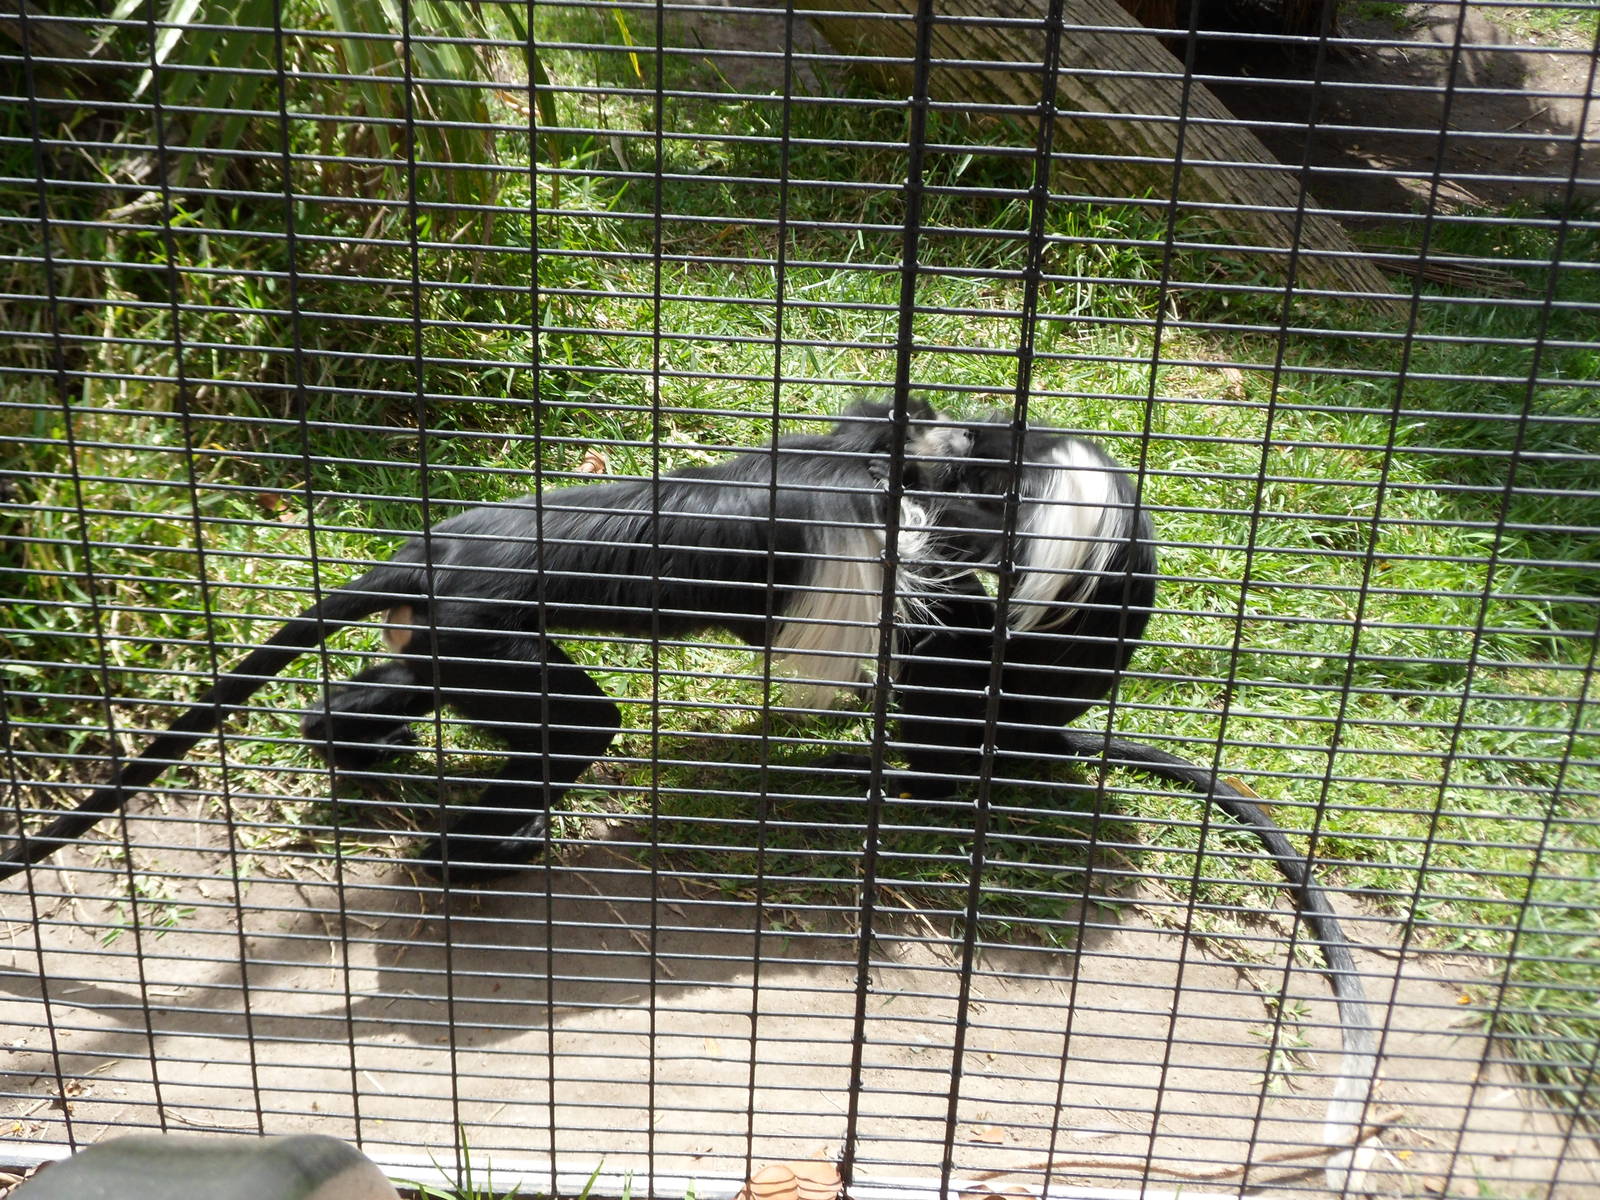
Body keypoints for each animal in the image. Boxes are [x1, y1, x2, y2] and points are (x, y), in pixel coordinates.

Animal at [0, 396, 1376, 1184]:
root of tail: (433, 548)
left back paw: (357, 755)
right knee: (578, 726)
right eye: (970, 483)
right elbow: (892, 645)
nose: (969, 502)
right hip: (488, 636)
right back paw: (478, 851)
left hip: (444, 637)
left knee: (390, 694)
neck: (888, 465)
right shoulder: (880, 549)